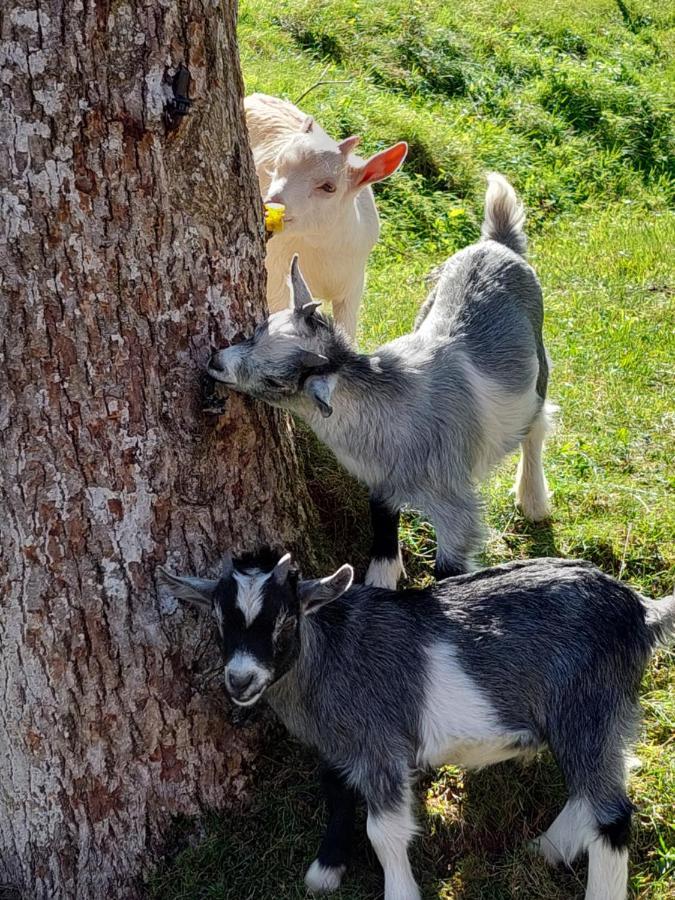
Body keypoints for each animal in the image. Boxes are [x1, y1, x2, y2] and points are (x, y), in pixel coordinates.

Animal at [210, 175, 556, 588]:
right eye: (258, 330)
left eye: (278, 381)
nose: (215, 363)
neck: (390, 408)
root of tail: (497, 243)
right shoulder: (381, 483)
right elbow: (382, 534)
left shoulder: (455, 503)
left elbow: (449, 568)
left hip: (539, 361)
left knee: (538, 424)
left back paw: (533, 500)